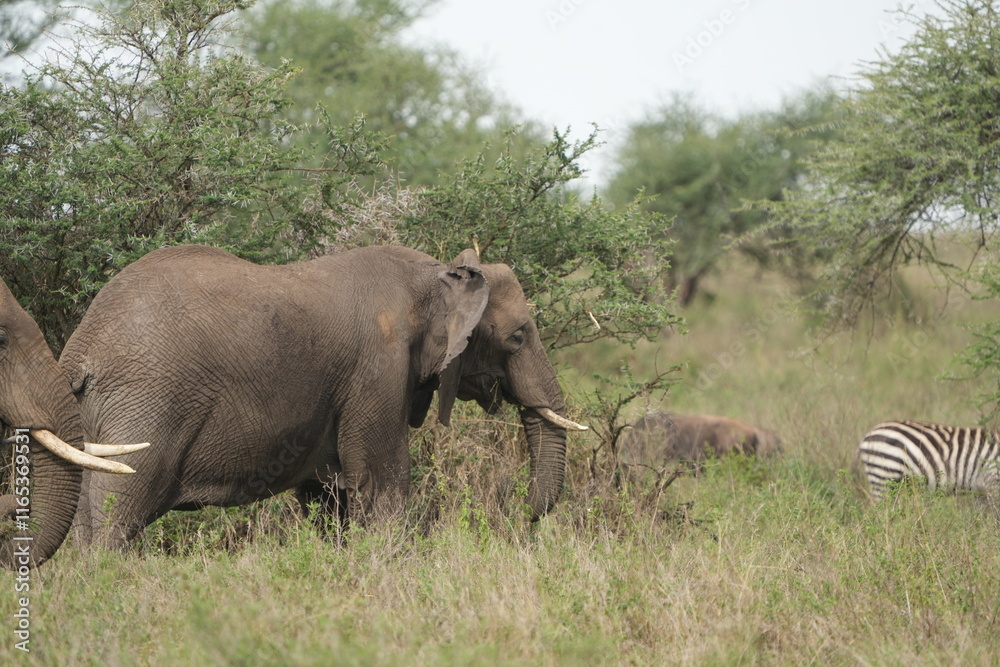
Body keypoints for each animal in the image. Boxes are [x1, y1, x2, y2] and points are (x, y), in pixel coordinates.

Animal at [60, 244, 586, 548]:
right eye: (517, 337)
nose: (520, 514)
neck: (437, 276)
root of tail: (81, 348)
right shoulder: (378, 369)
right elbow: (381, 485)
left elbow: (330, 500)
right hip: (146, 402)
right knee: (118, 510)